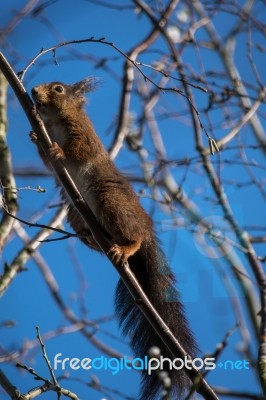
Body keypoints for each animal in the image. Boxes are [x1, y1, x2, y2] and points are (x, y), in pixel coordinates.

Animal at [31, 79, 197, 400]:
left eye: (58, 88)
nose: (32, 91)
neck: (54, 121)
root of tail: (147, 228)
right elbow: (45, 161)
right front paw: (35, 136)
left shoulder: (84, 134)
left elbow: (80, 150)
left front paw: (59, 151)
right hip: (75, 215)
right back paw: (93, 237)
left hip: (112, 203)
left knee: (133, 238)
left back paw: (127, 247)